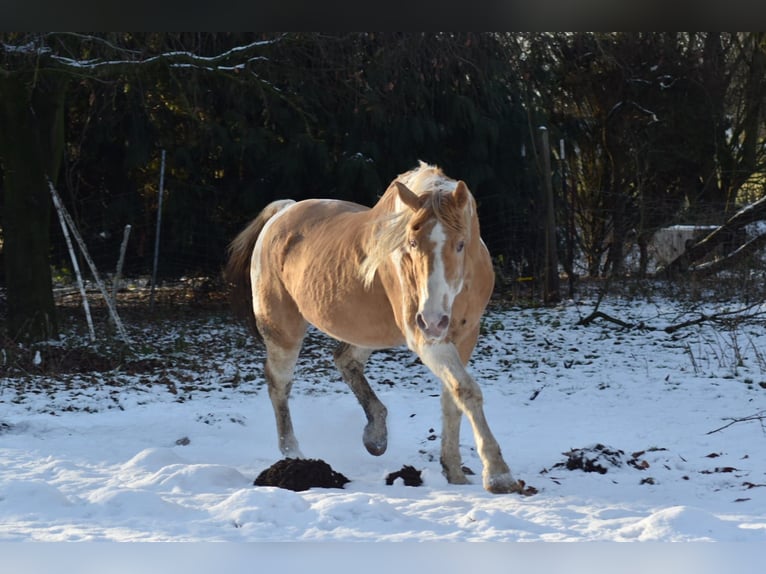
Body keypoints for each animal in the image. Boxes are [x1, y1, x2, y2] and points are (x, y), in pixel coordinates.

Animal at [224, 161, 520, 494]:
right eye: (411, 243)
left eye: (460, 244)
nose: (432, 320)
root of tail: (282, 211)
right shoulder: (427, 340)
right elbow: (466, 391)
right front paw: (498, 475)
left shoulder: (465, 336)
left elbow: (453, 397)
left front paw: (454, 472)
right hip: (283, 332)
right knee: (280, 385)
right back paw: (294, 454)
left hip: (367, 331)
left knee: (345, 359)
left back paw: (376, 435)